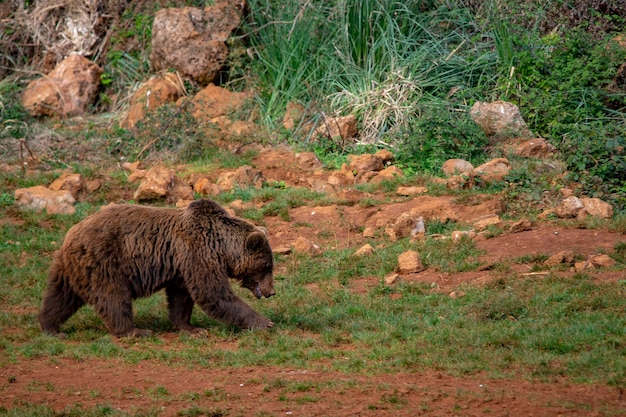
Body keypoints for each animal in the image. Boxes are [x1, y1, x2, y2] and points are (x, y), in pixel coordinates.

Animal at [39, 198, 272, 338]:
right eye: (267, 266)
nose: (271, 291)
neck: (221, 247)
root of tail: (71, 234)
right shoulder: (198, 253)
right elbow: (214, 293)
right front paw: (264, 322)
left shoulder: (182, 266)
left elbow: (182, 297)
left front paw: (190, 327)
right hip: (105, 261)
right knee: (113, 296)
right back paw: (135, 330)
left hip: (70, 268)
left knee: (60, 297)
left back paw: (51, 327)